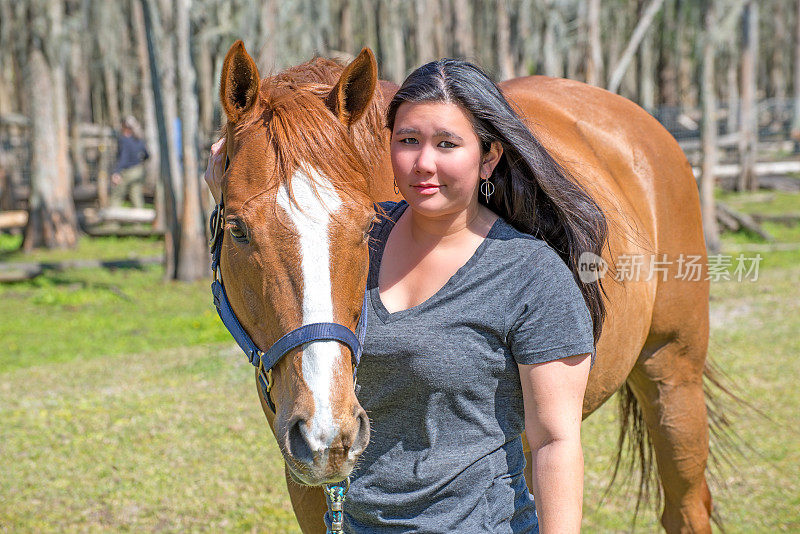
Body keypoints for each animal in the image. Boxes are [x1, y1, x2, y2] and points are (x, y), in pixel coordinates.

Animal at [214, 43, 712, 534]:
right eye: (238, 230)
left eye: (367, 226)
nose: (328, 435)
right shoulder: (307, 484)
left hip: (673, 375)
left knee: (686, 506)